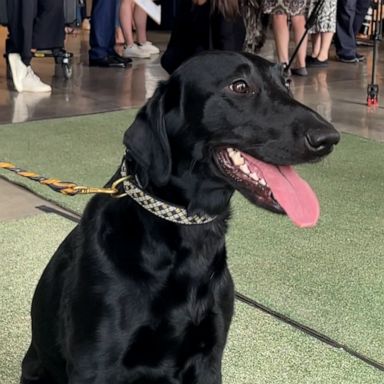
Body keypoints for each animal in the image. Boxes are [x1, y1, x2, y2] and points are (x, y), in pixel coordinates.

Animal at [21, 51, 340, 384]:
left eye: (286, 82)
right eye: (240, 86)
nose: (329, 138)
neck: (189, 232)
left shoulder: (208, 359)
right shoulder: (95, 365)